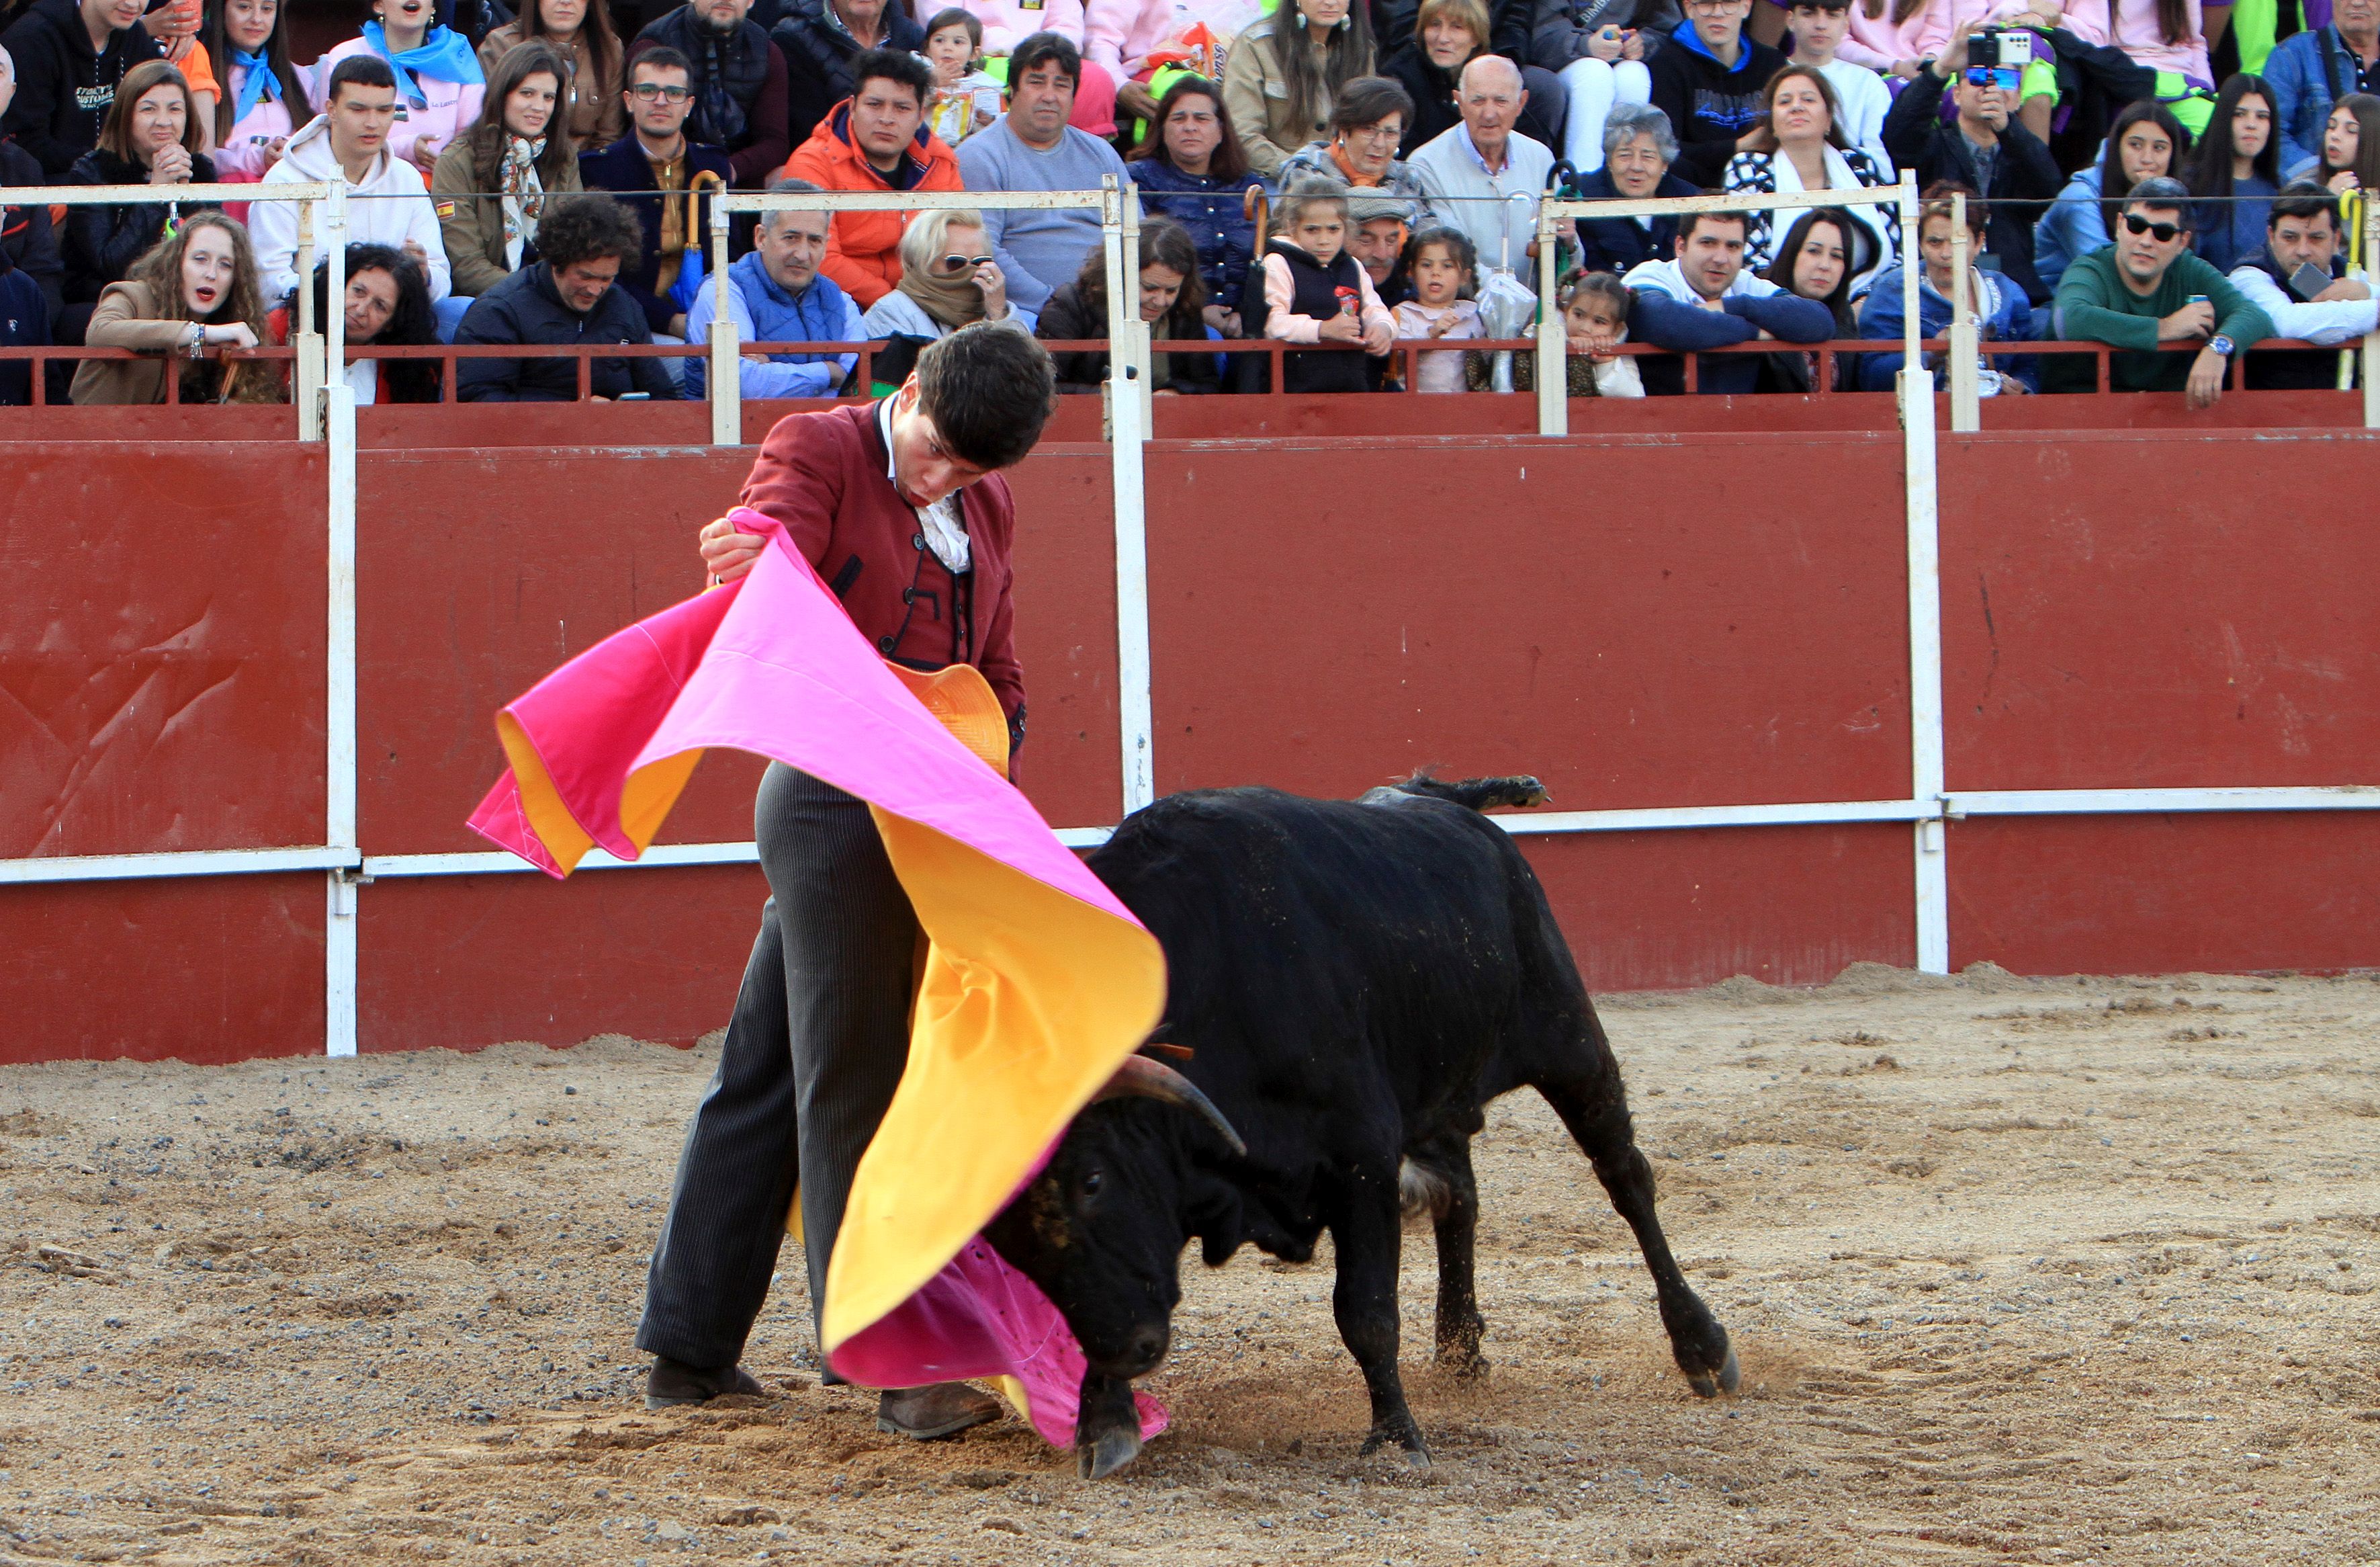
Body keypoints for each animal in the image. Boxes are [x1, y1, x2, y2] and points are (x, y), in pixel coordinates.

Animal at [975, 776, 1742, 1467]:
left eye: (1093, 1181)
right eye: (1001, 1234)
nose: (1130, 1349)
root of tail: (1442, 798)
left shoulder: (1361, 1156)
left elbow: (1366, 1310)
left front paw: (1397, 1439)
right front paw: (1103, 1419)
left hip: (1569, 1038)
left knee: (1626, 1180)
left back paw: (1702, 1347)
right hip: (1437, 1087)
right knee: (1459, 1198)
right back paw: (1459, 1354)